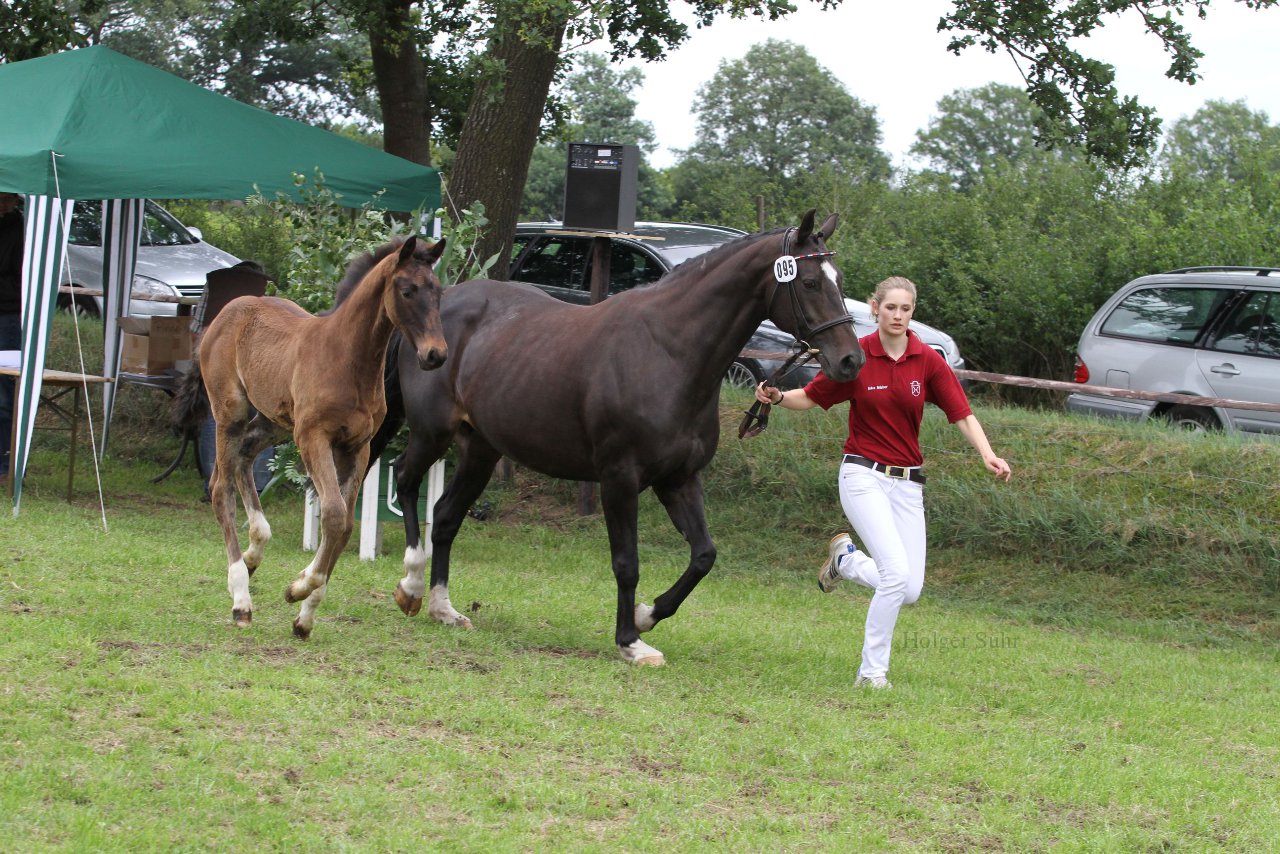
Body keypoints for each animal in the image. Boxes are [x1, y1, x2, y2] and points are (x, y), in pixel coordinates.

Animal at [192, 236, 448, 637]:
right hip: (230, 412)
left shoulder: (358, 447)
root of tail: (230, 308)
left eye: (438, 292)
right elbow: (334, 516)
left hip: (275, 420)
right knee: (220, 487)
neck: (348, 359)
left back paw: (254, 551)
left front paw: (305, 614)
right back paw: (241, 598)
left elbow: (343, 525)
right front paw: (299, 588)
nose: (435, 354)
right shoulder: (314, 437)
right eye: (407, 290)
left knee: (244, 456)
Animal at [373, 209, 865, 665]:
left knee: (446, 516)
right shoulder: (619, 480)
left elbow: (704, 555)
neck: (668, 353)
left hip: (481, 450)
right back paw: (411, 585)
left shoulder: (679, 480)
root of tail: (434, 314)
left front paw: (647, 615)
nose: (850, 361)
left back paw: (443, 609)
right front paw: (630, 641)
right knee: (406, 480)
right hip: (433, 433)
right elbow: (627, 563)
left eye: (838, 279)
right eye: (810, 283)